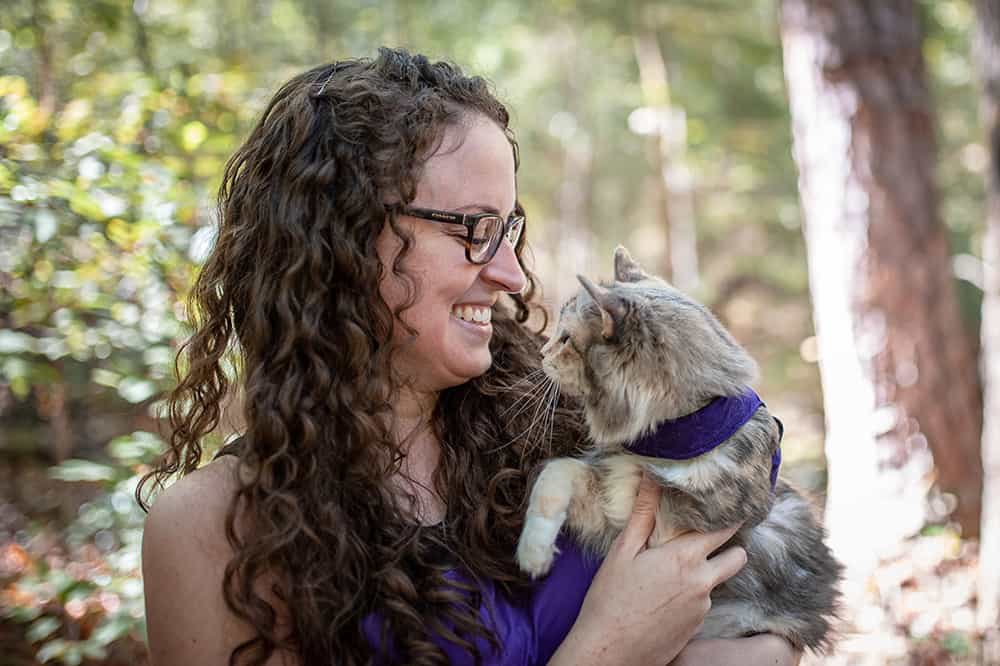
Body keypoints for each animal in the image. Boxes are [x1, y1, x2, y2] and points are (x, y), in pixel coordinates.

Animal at [516, 244, 844, 648]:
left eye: (564, 340)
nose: (541, 352)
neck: (672, 441)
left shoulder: (669, 532)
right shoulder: (611, 506)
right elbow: (555, 472)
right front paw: (534, 550)